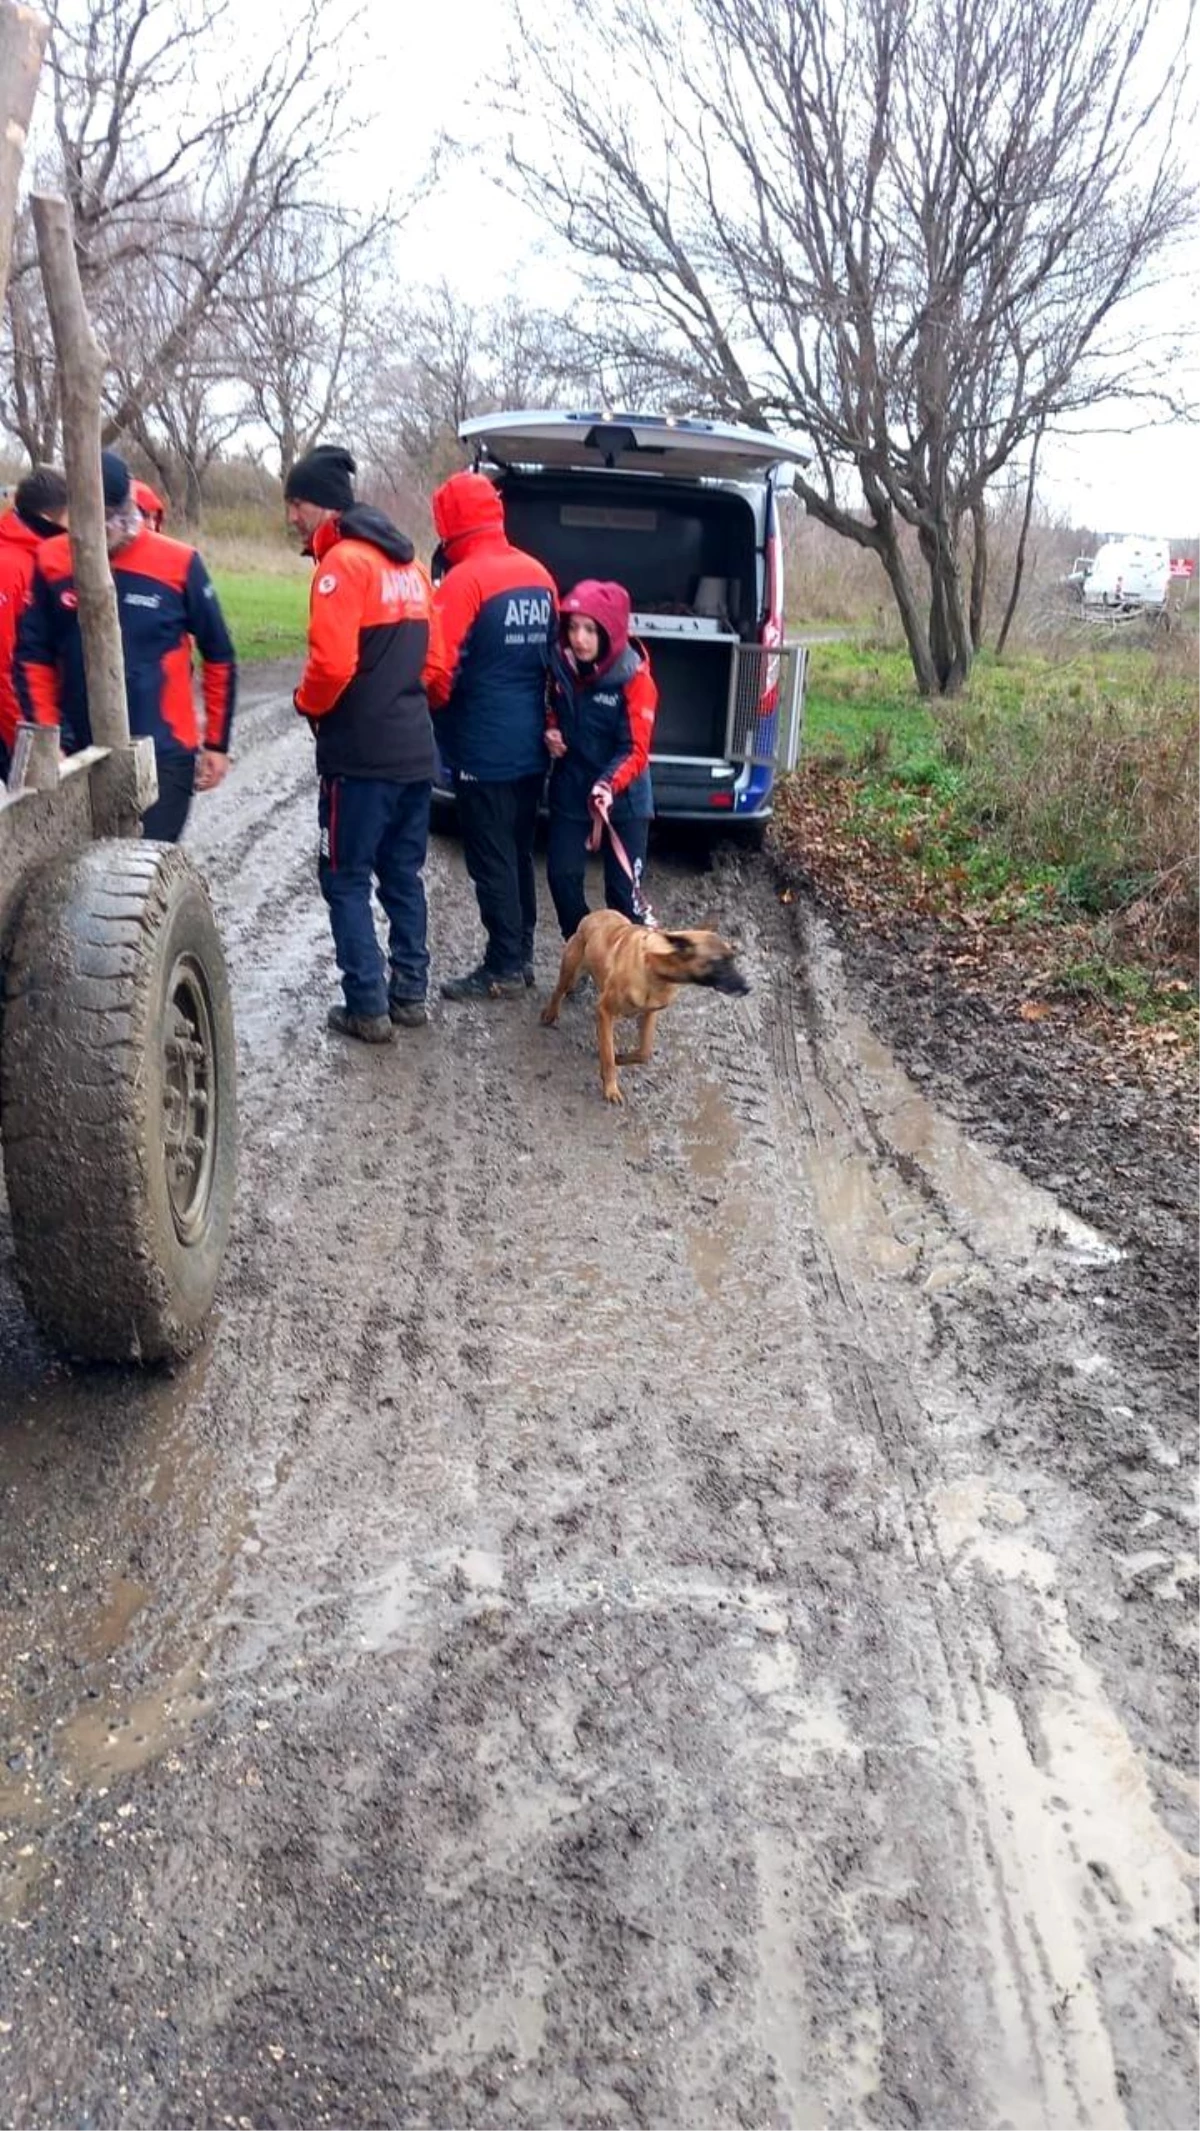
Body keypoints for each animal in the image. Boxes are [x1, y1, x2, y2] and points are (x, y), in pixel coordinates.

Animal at [539, 907, 746, 1108]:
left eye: (732, 958)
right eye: (718, 962)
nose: (747, 987)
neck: (655, 969)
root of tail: (592, 915)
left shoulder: (649, 1014)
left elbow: (643, 1052)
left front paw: (620, 1058)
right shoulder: (605, 1011)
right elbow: (607, 1056)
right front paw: (611, 1088)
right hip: (570, 971)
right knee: (559, 991)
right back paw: (550, 1014)